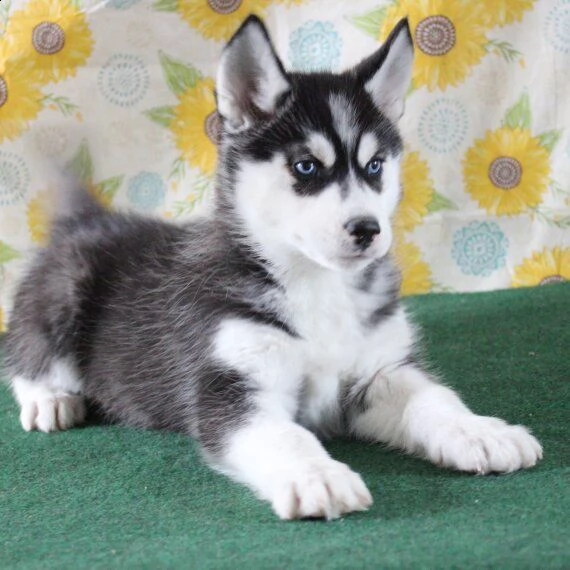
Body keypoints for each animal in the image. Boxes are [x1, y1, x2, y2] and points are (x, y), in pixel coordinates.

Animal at [4, 15, 540, 516]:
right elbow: (288, 437)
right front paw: (318, 475)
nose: (368, 229)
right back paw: (49, 398)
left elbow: (435, 399)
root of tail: (88, 221)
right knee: (25, 354)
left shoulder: (380, 371)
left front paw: (481, 431)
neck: (318, 285)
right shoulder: (235, 389)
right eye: (306, 166)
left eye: (375, 166)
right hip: (61, 296)